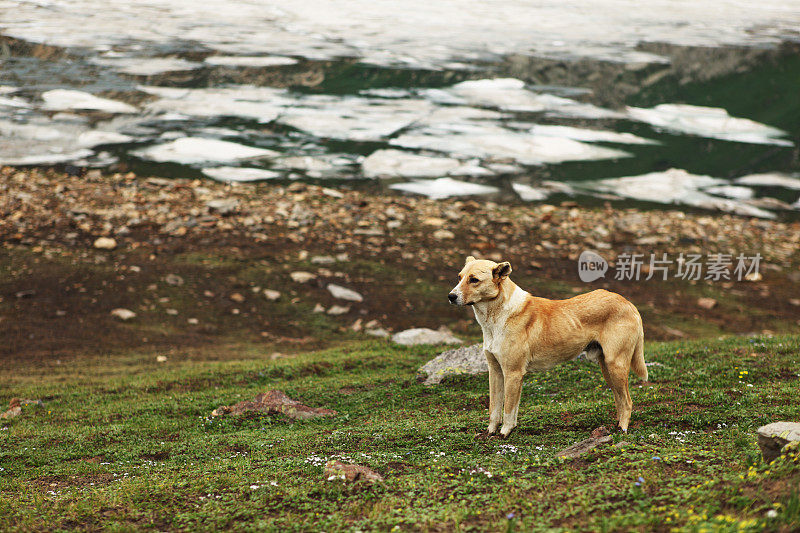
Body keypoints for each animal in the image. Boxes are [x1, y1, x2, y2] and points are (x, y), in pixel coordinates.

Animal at [446, 256, 648, 436]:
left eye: (474, 280)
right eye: (459, 277)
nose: (450, 296)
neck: (497, 317)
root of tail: (628, 303)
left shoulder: (513, 373)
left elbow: (509, 409)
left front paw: (505, 433)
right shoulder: (495, 371)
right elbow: (494, 408)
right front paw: (490, 432)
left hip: (616, 365)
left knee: (627, 401)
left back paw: (622, 430)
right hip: (606, 368)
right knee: (619, 399)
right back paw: (615, 426)